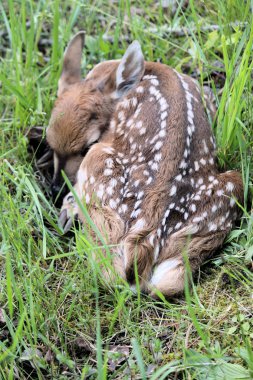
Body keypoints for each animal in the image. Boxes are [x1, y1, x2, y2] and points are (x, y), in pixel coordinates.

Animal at [46, 31, 244, 296]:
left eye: (87, 143)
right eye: (49, 142)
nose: (56, 188)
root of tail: (145, 241)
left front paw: (68, 206)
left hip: (99, 166)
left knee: (110, 273)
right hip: (227, 196)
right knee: (171, 281)